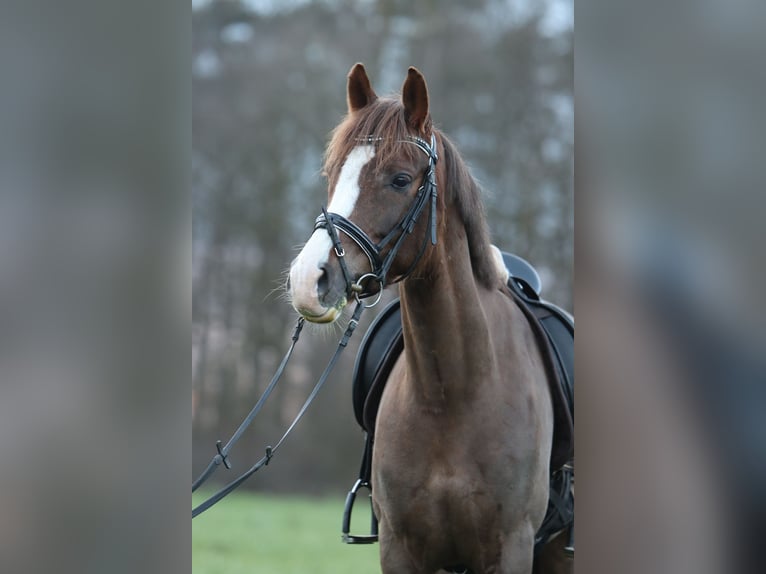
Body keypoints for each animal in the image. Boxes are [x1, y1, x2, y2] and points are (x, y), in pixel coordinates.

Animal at [288, 63, 564, 574]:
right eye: (332, 173)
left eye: (400, 180)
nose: (306, 279)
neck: (452, 393)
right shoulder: (400, 549)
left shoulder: (511, 548)